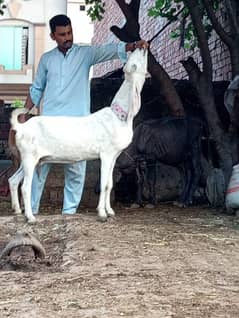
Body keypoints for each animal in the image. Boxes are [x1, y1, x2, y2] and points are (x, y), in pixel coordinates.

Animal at [8, 47, 148, 224]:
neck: (119, 115)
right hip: (29, 157)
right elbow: (104, 185)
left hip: (31, 159)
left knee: (13, 180)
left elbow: (110, 184)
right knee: (26, 187)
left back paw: (17, 211)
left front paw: (110, 211)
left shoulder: (115, 156)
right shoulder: (106, 154)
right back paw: (30, 217)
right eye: (135, 61)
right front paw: (102, 213)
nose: (142, 46)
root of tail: (21, 127)